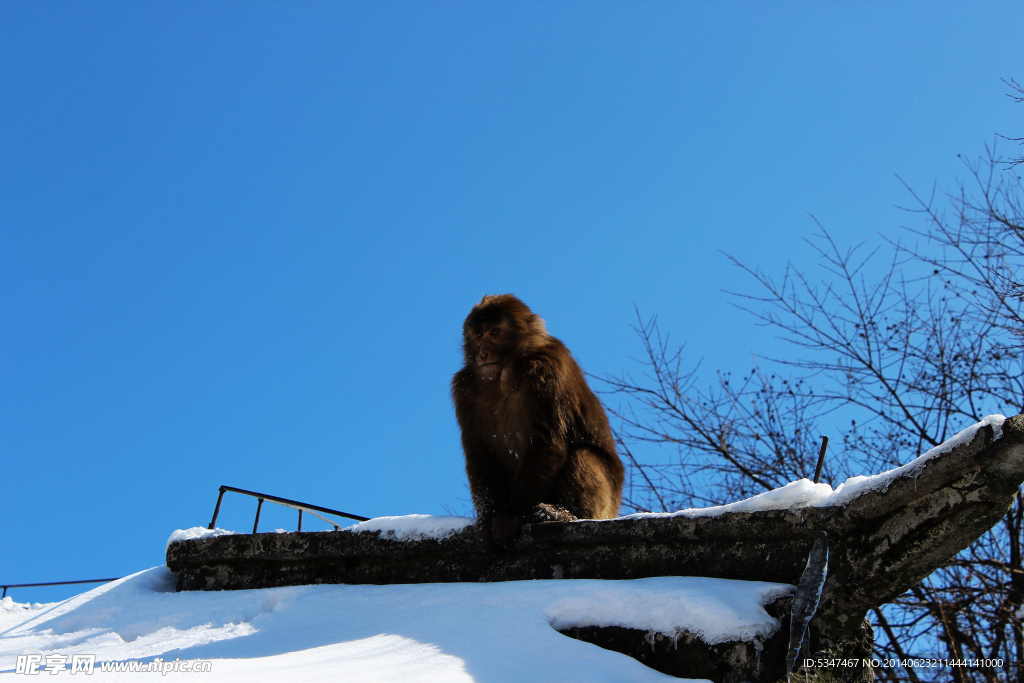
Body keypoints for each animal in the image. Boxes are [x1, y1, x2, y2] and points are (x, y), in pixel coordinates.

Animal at [454, 294, 622, 548]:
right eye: (478, 334)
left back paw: (566, 515)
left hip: (608, 501)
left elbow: (546, 444)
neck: (504, 378)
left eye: (495, 332)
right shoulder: (464, 389)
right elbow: (480, 453)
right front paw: (486, 522)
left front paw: (511, 517)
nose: (483, 353)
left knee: (583, 454)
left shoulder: (546, 369)